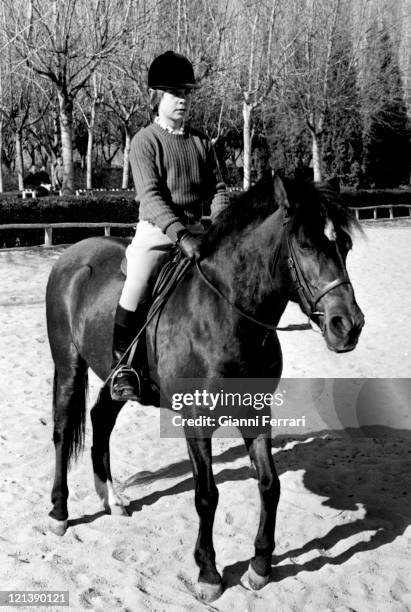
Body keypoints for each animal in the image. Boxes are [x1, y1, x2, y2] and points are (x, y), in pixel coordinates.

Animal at [47, 175, 364, 600]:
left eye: (344, 245)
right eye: (305, 244)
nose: (348, 326)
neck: (226, 311)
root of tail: (71, 255)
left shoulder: (256, 412)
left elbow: (270, 484)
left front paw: (260, 566)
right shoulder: (196, 421)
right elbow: (207, 495)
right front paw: (209, 573)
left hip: (114, 380)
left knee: (101, 417)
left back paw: (112, 499)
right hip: (68, 366)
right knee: (64, 431)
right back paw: (59, 513)